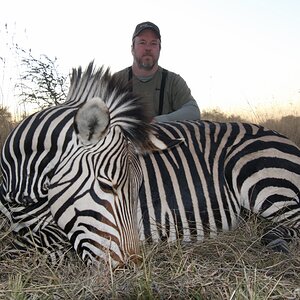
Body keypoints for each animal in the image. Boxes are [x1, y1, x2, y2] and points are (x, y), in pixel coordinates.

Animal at [0, 62, 298, 268]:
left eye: (138, 188)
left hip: (257, 175)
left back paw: (276, 240)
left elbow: (19, 245)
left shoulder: (61, 232)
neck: (20, 194)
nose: (131, 264)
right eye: (106, 185)